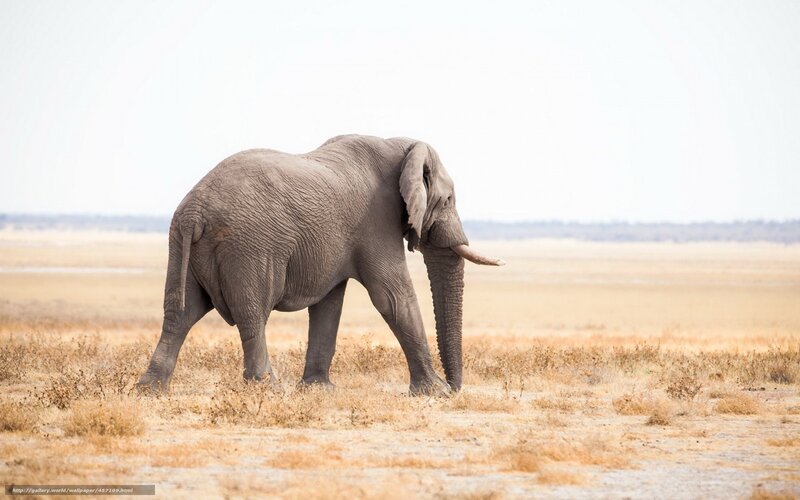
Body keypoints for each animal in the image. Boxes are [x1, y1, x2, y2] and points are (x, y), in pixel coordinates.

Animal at [137, 134, 504, 396]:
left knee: (181, 313)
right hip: (249, 247)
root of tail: (195, 211)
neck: (400, 145)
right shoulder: (376, 219)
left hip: (180, 243)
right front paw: (434, 393)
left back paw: (151, 390)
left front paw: (319, 390)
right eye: (448, 200)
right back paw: (269, 389)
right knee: (252, 314)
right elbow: (392, 296)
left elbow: (330, 304)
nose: (456, 388)